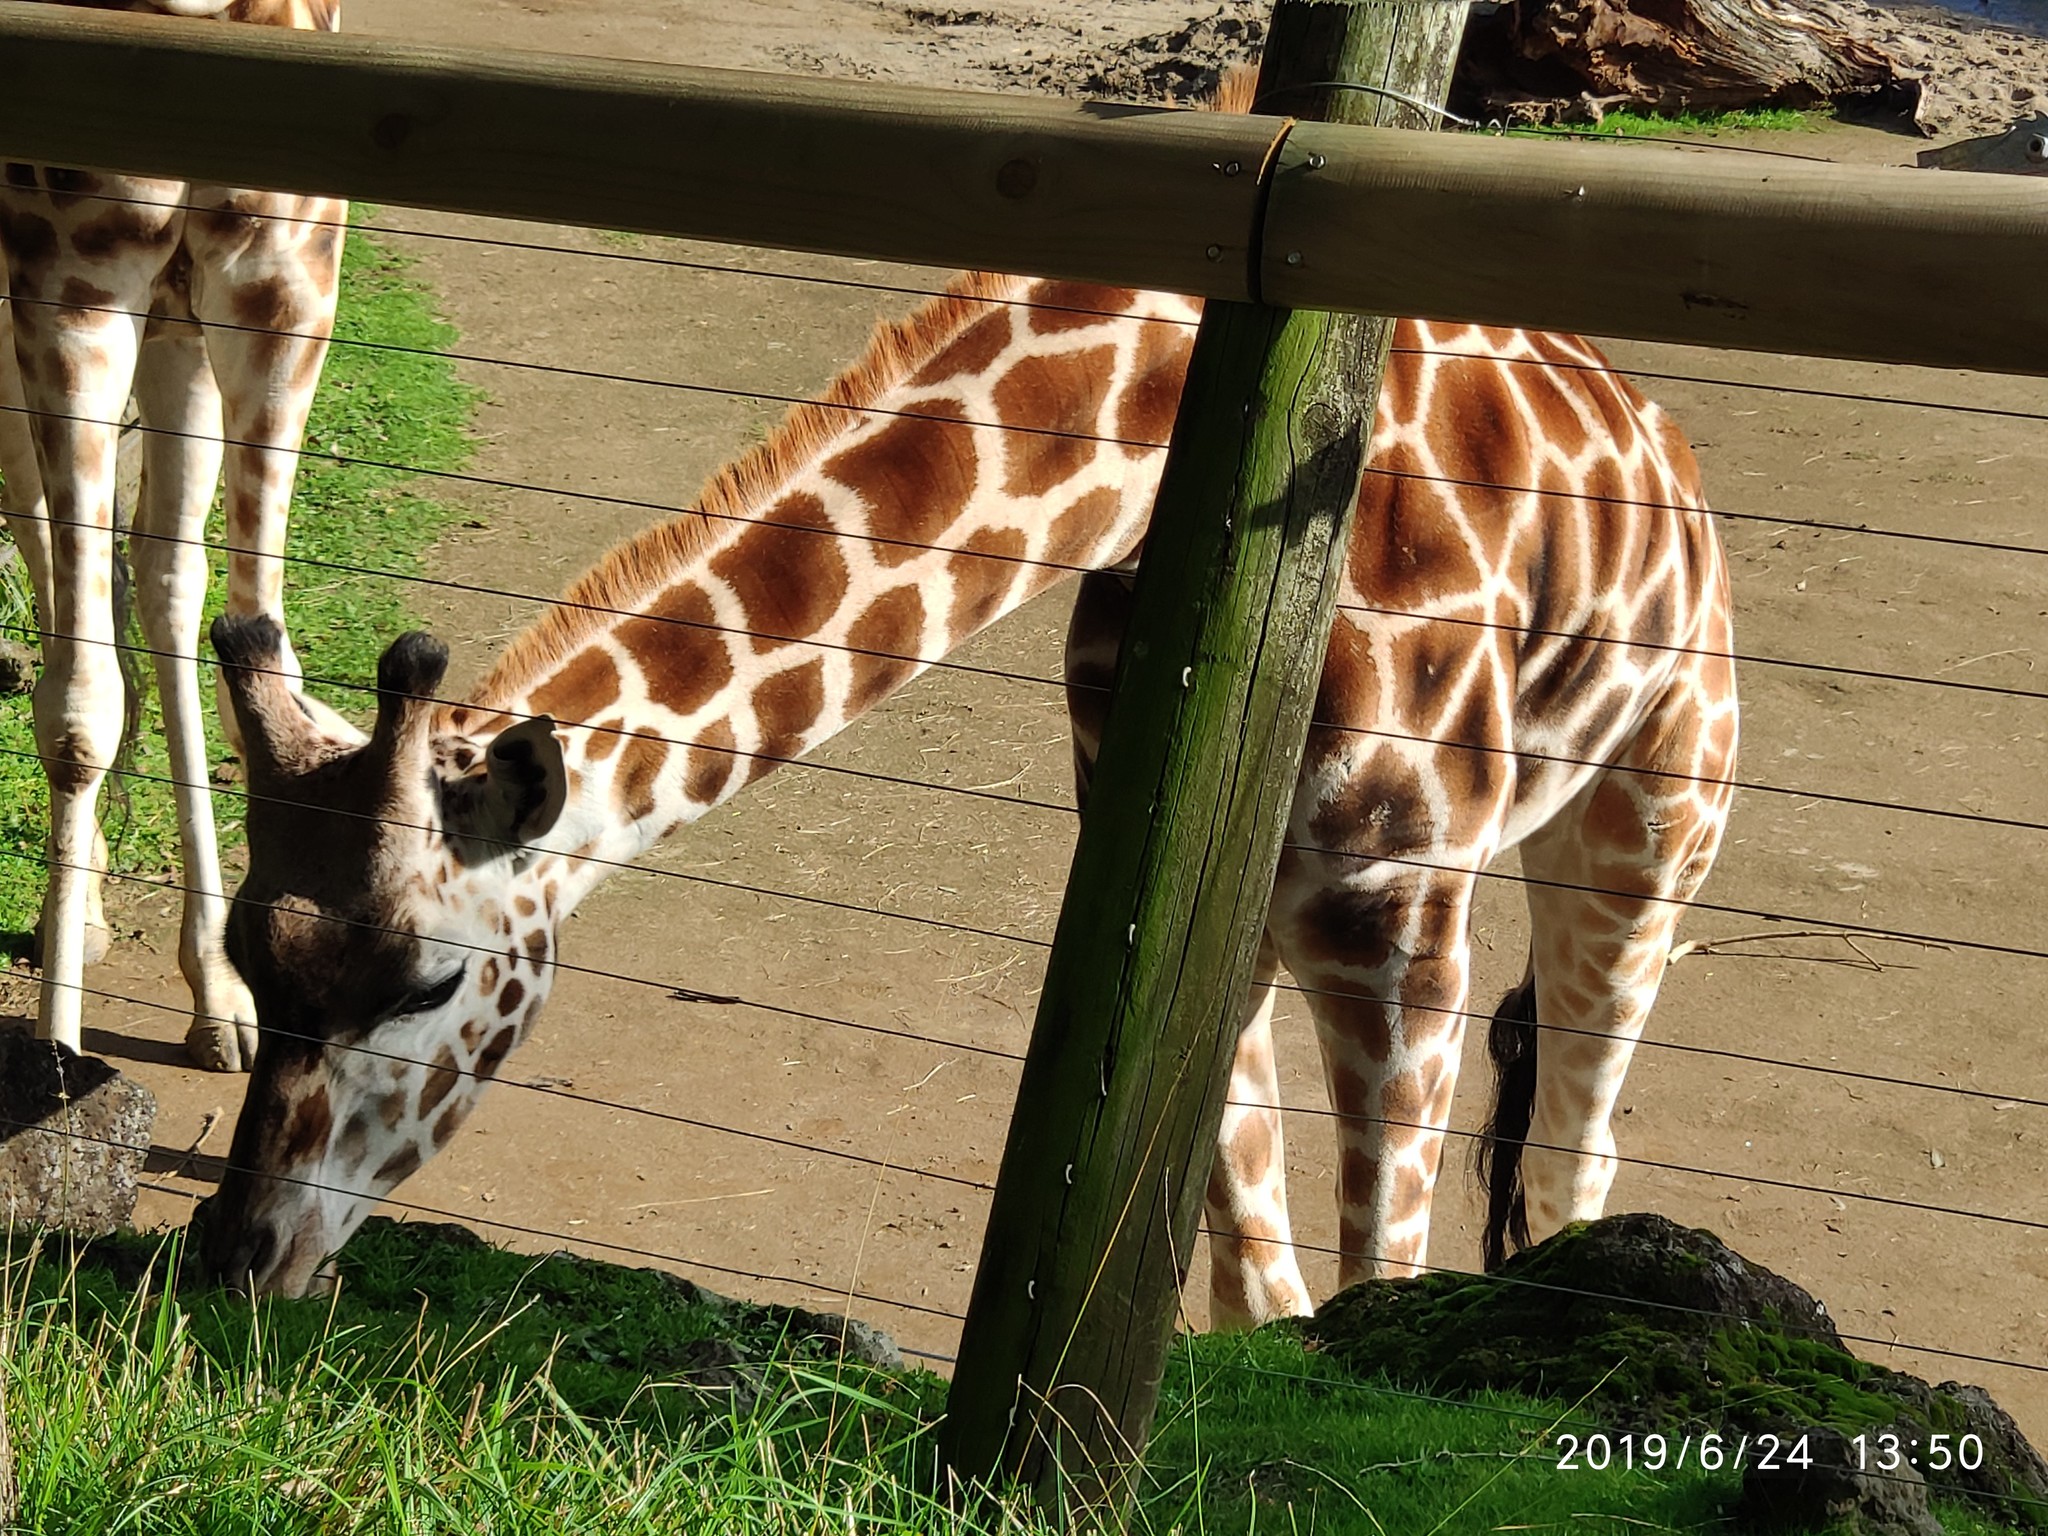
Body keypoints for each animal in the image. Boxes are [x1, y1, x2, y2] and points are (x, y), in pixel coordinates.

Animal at [0, 0, 348, 1073]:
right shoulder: (80, 293)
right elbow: (83, 705)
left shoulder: (271, 288)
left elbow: (246, 667)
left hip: (177, 319)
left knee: (153, 581)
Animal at [192, 262, 1728, 1302]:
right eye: (248, 964)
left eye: (431, 983)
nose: (240, 1254)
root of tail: (1654, 429)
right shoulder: (1185, 894)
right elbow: (1250, 1280)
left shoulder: (1399, 915)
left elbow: (1370, 1273)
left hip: (1655, 814)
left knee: (1577, 1143)